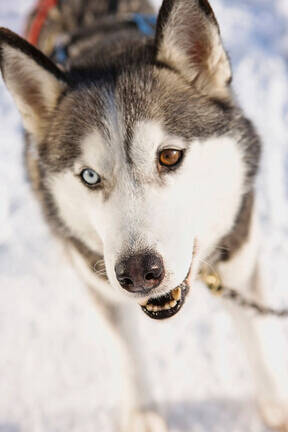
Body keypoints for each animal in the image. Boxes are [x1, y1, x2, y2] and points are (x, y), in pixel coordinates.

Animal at [0, 0, 288, 430]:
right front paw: (142, 413)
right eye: (89, 176)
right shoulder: (100, 281)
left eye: (169, 156)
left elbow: (256, 336)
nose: (138, 272)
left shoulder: (239, 258)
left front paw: (276, 404)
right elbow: (128, 350)